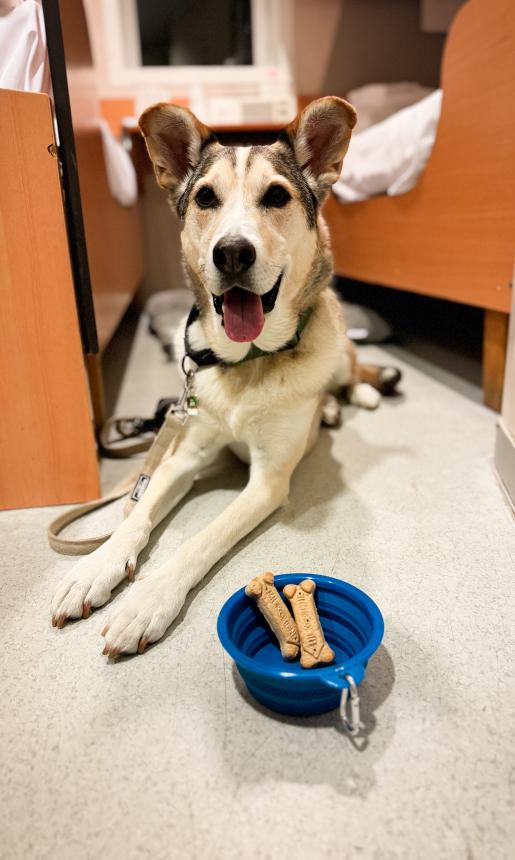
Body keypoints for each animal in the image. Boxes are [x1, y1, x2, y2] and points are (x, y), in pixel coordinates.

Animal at [50, 97, 402, 656]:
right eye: (205, 197)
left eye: (276, 195)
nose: (232, 252)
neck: (247, 362)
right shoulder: (184, 453)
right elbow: (138, 513)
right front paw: (96, 567)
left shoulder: (267, 481)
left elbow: (202, 538)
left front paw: (148, 601)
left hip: (343, 349)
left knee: (351, 367)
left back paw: (366, 389)